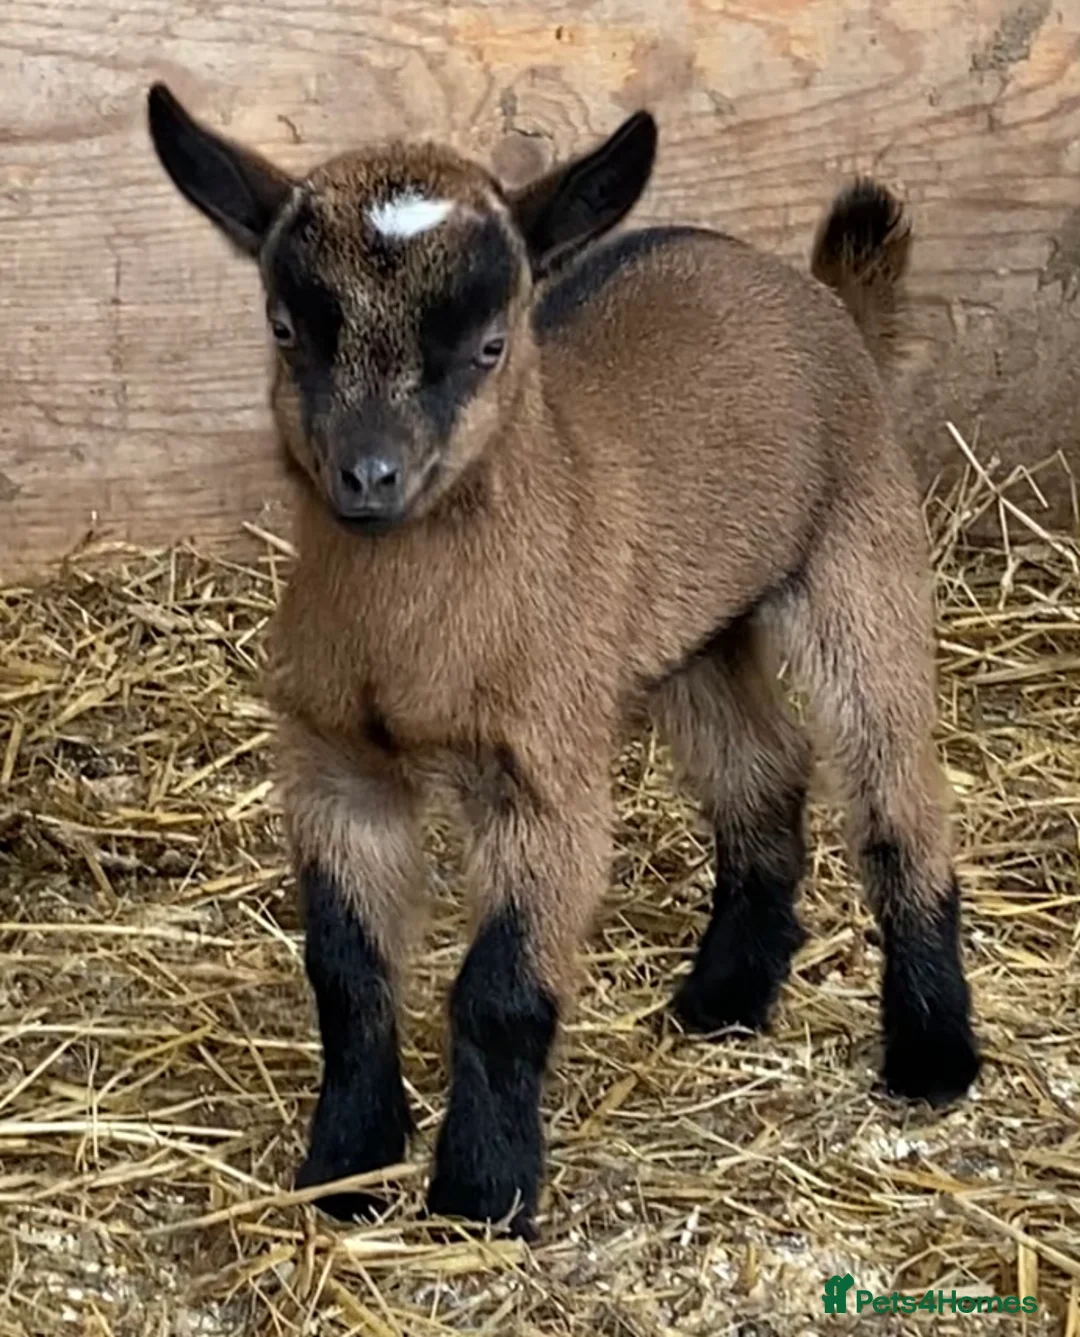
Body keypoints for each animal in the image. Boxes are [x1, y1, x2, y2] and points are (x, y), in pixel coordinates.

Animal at [147, 85, 980, 1239]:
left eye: (492, 344)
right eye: (284, 326)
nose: (370, 474)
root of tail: (815, 291)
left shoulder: (544, 773)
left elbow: (499, 994)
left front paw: (480, 1194)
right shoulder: (334, 761)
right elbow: (347, 974)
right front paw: (348, 1166)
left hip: (859, 553)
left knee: (899, 789)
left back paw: (934, 1055)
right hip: (691, 628)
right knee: (763, 767)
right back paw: (726, 998)